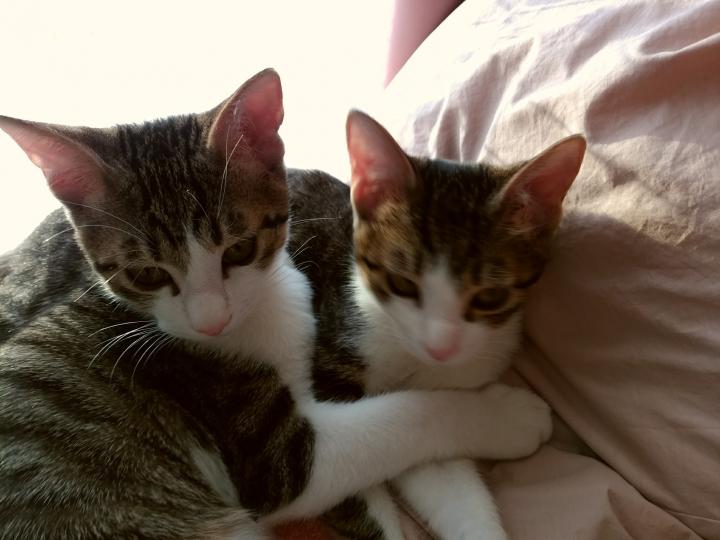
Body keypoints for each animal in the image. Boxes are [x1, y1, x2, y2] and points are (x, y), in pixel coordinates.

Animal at [0, 69, 553, 539]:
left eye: (240, 249)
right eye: (146, 274)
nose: (211, 322)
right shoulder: (272, 453)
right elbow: (403, 418)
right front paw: (510, 416)